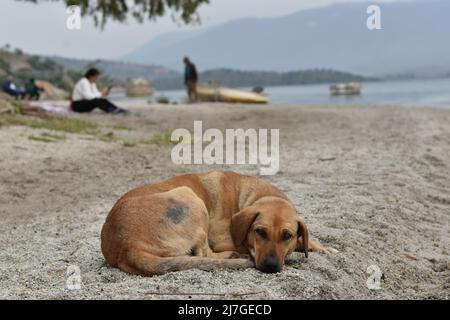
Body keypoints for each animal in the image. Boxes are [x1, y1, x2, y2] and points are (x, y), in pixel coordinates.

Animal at [101, 171, 334, 276]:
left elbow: (307, 240)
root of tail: (126, 247)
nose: (270, 267)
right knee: (204, 253)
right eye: (259, 232)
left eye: (287, 236)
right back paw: (233, 256)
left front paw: (323, 247)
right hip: (189, 196)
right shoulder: (224, 238)